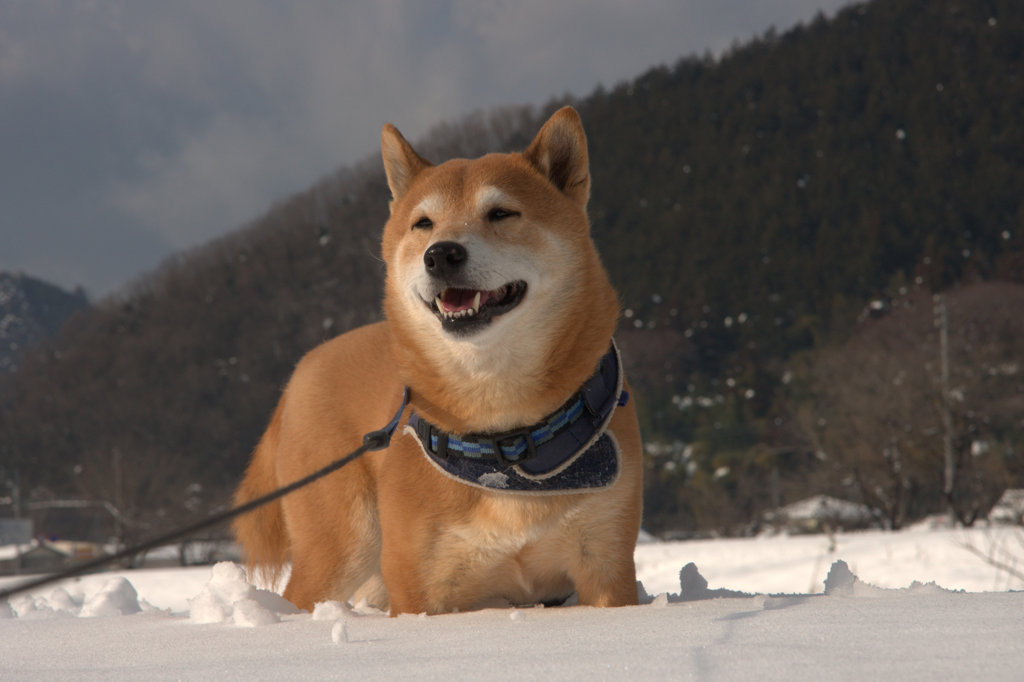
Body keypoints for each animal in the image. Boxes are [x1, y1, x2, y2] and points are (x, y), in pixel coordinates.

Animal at [235, 107, 643, 614]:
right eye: (423, 224)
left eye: (501, 213)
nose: (442, 254)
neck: (503, 437)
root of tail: (302, 368)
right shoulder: (419, 587)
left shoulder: (606, 567)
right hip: (342, 547)